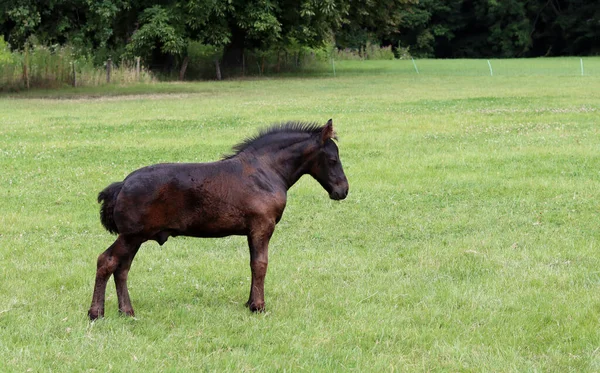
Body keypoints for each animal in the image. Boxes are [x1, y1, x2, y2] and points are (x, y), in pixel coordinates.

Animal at [90, 120, 352, 320]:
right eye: (332, 160)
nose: (343, 190)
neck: (265, 171)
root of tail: (122, 184)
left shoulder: (252, 231)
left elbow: (253, 263)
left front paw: (250, 303)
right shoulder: (262, 227)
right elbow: (261, 264)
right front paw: (259, 306)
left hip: (135, 238)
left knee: (122, 268)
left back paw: (127, 311)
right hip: (131, 236)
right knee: (107, 261)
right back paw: (96, 313)